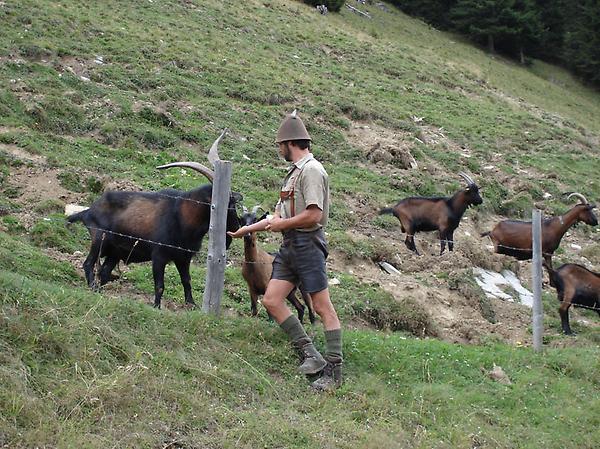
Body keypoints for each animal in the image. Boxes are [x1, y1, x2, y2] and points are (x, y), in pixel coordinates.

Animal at [67, 131, 241, 310]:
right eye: (229, 203)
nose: (237, 226)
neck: (182, 216)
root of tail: (89, 211)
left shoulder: (183, 258)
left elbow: (186, 280)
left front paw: (191, 304)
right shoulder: (159, 256)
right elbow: (160, 285)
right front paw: (157, 306)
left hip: (115, 252)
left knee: (104, 271)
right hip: (99, 240)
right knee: (88, 263)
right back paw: (92, 287)